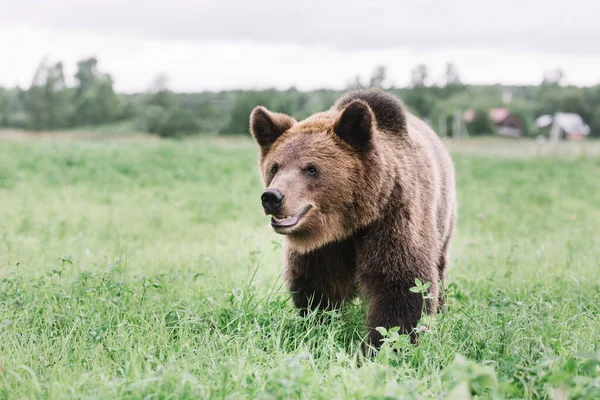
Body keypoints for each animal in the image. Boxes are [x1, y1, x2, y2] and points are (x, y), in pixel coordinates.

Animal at [248, 88, 454, 354]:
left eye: (311, 168)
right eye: (275, 167)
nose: (272, 197)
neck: (348, 223)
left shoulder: (393, 219)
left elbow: (402, 285)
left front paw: (380, 348)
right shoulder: (323, 249)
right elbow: (318, 286)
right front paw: (319, 328)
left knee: (439, 266)